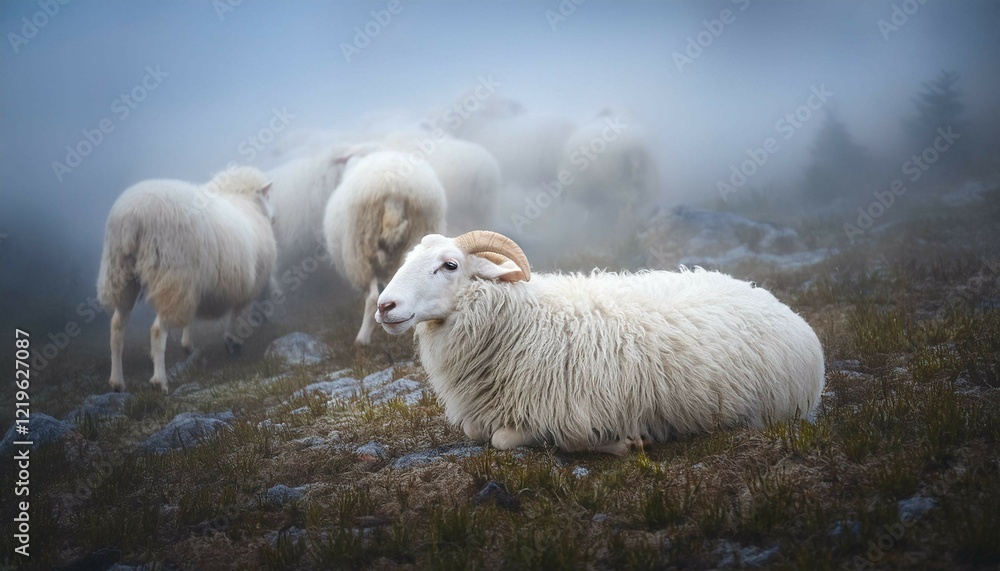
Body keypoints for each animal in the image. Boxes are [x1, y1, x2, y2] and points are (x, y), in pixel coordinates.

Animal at [97, 166, 277, 393]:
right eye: (268, 195)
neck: (242, 201)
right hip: (173, 276)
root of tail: (133, 216)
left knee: (117, 327)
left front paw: (187, 344)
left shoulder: (197, 284)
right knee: (157, 331)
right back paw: (159, 381)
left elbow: (191, 317)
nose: (274, 219)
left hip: (122, 276)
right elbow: (235, 313)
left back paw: (117, 381)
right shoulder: (245, 282)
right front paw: (231, 340)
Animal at [374, 231, 825, 455]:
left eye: (449, 265)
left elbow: (507, 439)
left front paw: (623, 442)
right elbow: (475, 431)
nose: (384, 305)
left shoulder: (569, 412)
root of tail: (775, 301)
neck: (528, 320)